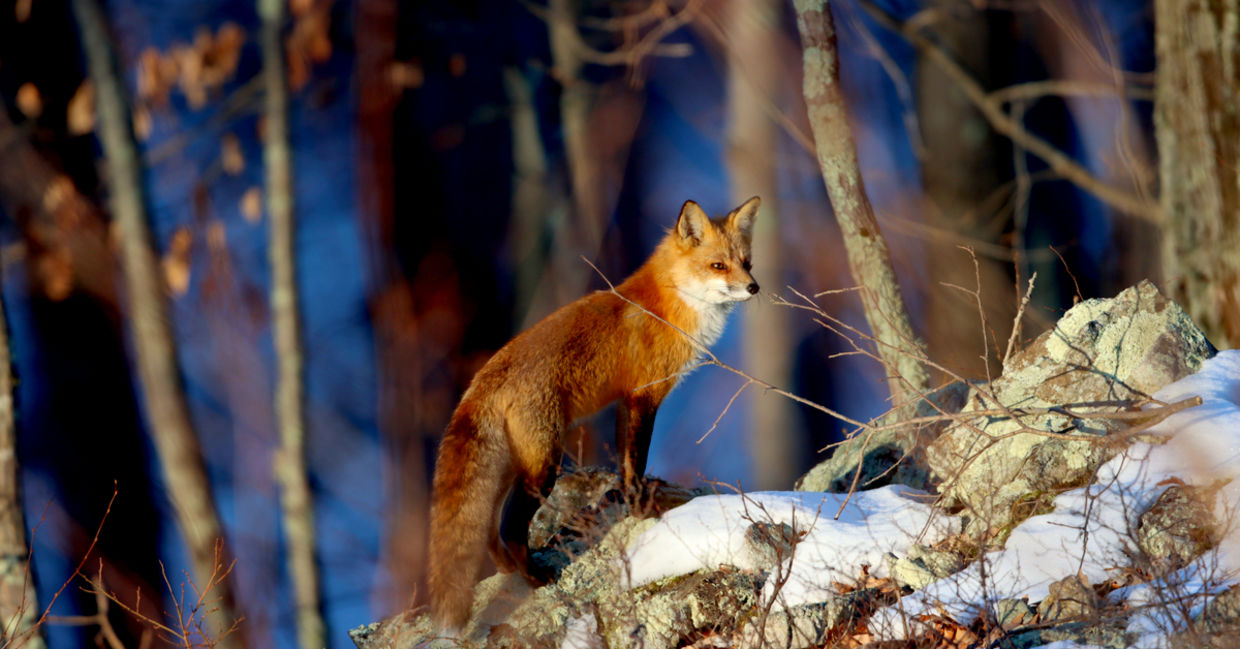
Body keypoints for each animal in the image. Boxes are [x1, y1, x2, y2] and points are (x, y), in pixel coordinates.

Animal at [427, 197, 762, 631]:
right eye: (718, 265)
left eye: (747, 262)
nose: (754, 287)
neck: (668, 304)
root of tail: (484, 376)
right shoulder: (644, 396)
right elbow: (635, 462)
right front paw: (642, 510)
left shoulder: (625, 402)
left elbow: (625, 466)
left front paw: (632, 501)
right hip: (544, 467)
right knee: (510, 526)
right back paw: (534, 578)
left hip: (510, 467)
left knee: (487, 527)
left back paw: (507, 570)